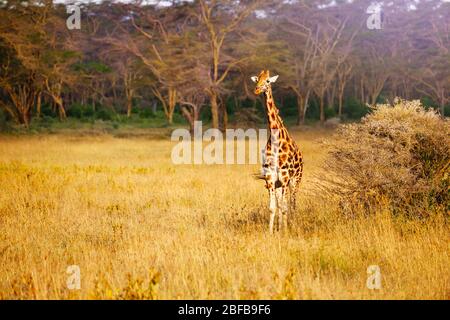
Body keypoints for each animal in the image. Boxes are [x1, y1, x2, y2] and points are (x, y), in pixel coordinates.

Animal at [251, 70, 304, 234]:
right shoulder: (270, 179)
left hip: (295, 180)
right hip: (280, 184)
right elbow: (273, 208)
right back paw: (280, 227)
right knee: (282, 204)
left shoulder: (286, 177)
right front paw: (271, 232)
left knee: (293, 204)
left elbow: (285, 208)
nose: (257, 89)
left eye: (268, 81)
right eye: (257, 79)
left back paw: (292, 225)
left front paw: (285, 231)